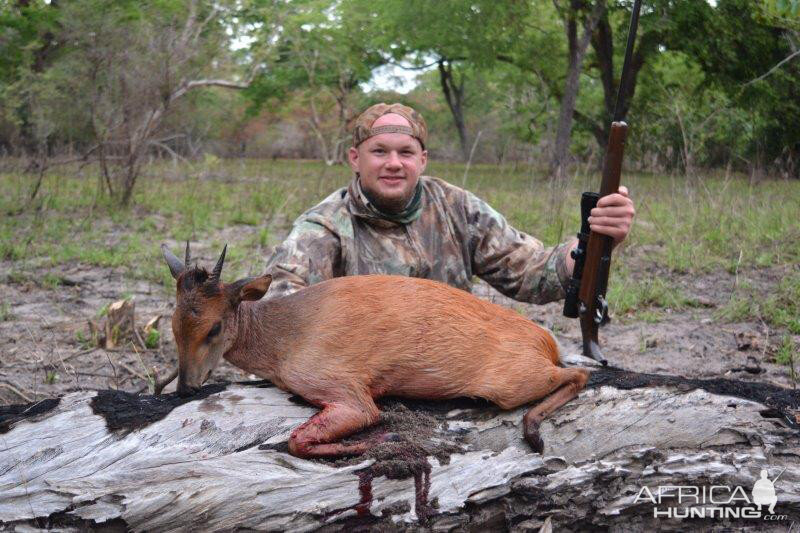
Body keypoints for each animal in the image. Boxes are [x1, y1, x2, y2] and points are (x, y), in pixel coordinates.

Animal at [162, 244, 592, 458]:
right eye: (173, 324)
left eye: (215, 327)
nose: (185, 387)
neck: (281, 341)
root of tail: (545, 340)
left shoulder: (344, 390)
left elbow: (301, 440)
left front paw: (382, 440)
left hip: (511, 383)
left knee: (579, 373)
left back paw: (534, 430)